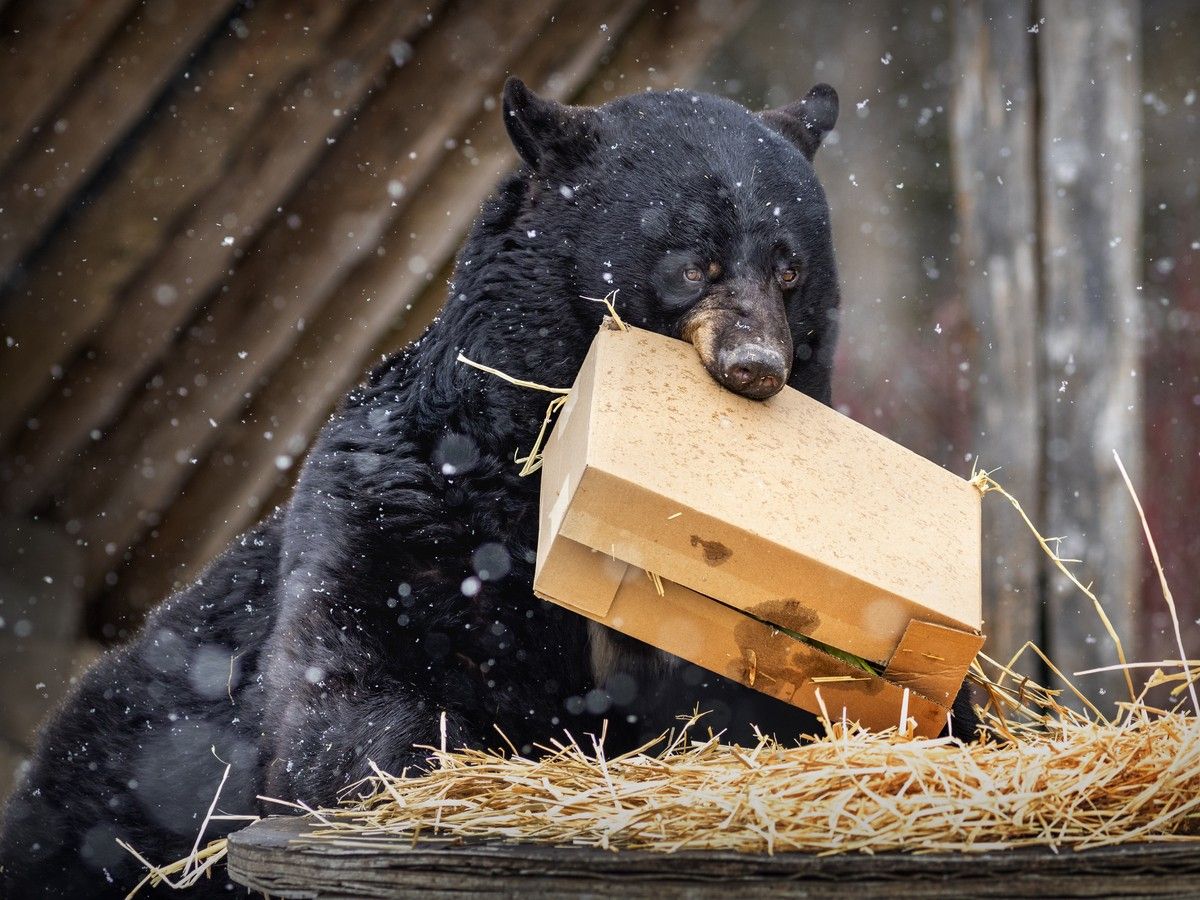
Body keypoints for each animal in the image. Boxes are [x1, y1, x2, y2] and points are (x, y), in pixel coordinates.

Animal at [0, 76, 977, 897]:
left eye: (790, 268)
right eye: (689, 263)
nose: (756, 367)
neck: (539, 459)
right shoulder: (394, 513)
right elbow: (355, 695)